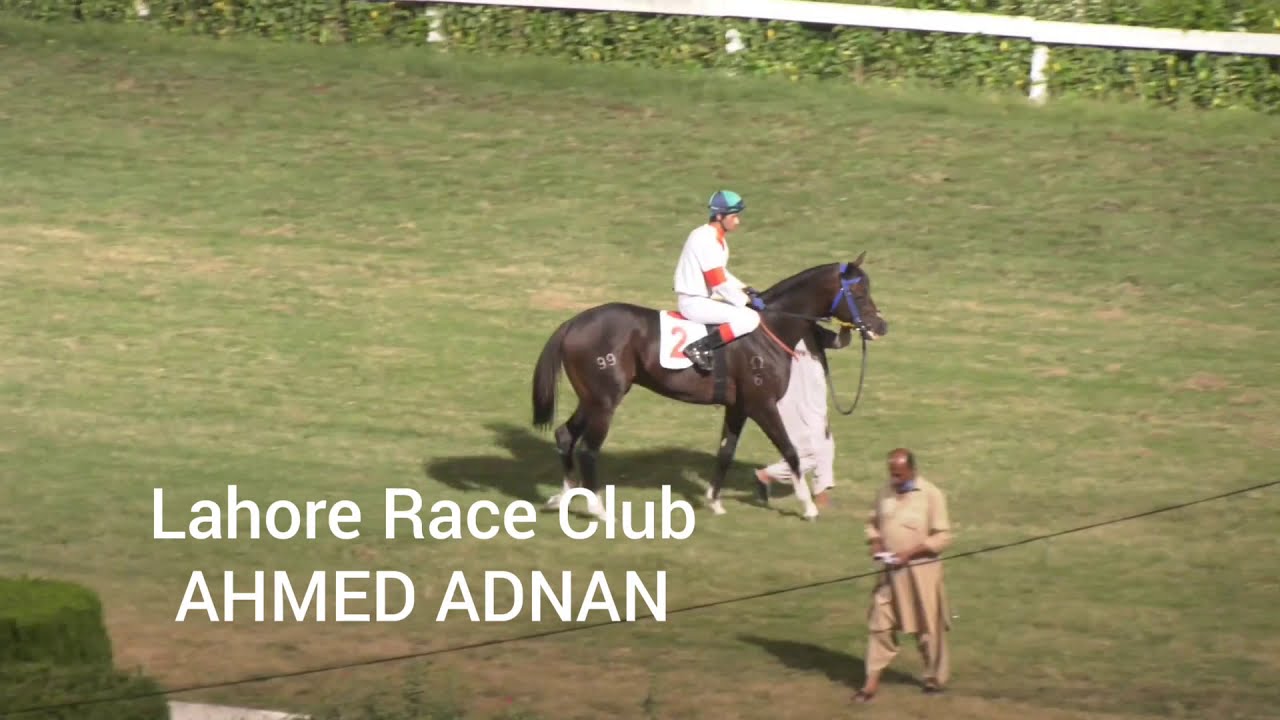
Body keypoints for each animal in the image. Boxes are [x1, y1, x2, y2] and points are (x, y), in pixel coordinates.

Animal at [529, 254, 889, 519]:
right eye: (858, 293)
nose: (880, 326)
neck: (769, 328)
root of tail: (574, 322)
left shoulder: (738, 407)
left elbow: (726, 453)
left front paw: (715, 502)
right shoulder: (762, 405)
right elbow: (791, 451)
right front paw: (809, 507)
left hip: (591, 398)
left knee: (565, 435)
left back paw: (563, 497)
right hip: (605, 401)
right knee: (589, 449)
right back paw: (599, 509)